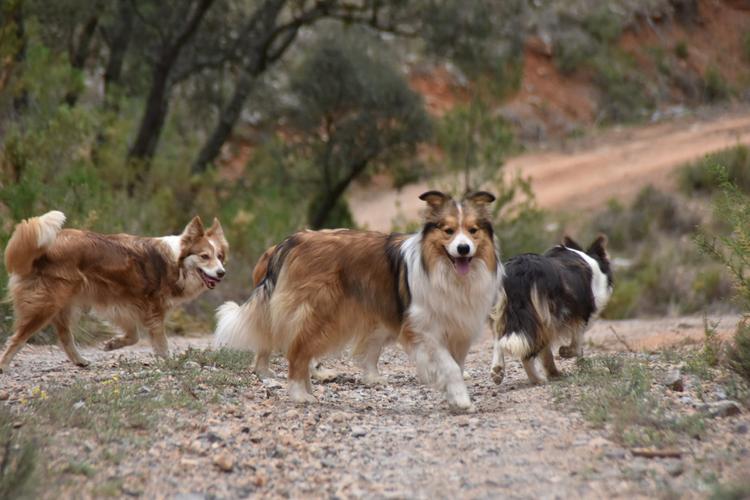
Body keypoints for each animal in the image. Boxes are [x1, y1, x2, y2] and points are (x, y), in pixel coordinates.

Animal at [0, 211, 229, 372]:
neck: (177, 262)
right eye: (204, 256)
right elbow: (160, 342)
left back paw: (80, 361)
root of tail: (42, 250)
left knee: (65, 337)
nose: (221, 273)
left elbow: (134, 336)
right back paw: (4, 365)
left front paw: (112, 344)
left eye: (219, 256)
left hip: (64, 305)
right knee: (18, 338)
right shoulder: (150, 309)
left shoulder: (121, 305)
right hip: (46, 306)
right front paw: (169, 361)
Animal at [214, 190, 502, 410]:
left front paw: (455, 396)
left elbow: (456, 367)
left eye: (473, 231)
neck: (445, 271)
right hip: (321, 315)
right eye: (448, 231)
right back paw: (298, 394)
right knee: (295, 352)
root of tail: (294, 240)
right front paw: (461, 400)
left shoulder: (458, 330)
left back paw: (307, 390)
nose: (463, 249)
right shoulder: (423, 329)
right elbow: (450, 367)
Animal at [490, 236, 612, 384]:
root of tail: (521, 269)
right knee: (527, 351)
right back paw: (537, 379)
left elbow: (546, 353)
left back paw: (497, 371)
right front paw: (566, 353)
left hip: (507, 312)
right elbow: (577, 342)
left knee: (500, 339)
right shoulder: (579, 314)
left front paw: (553, 372)